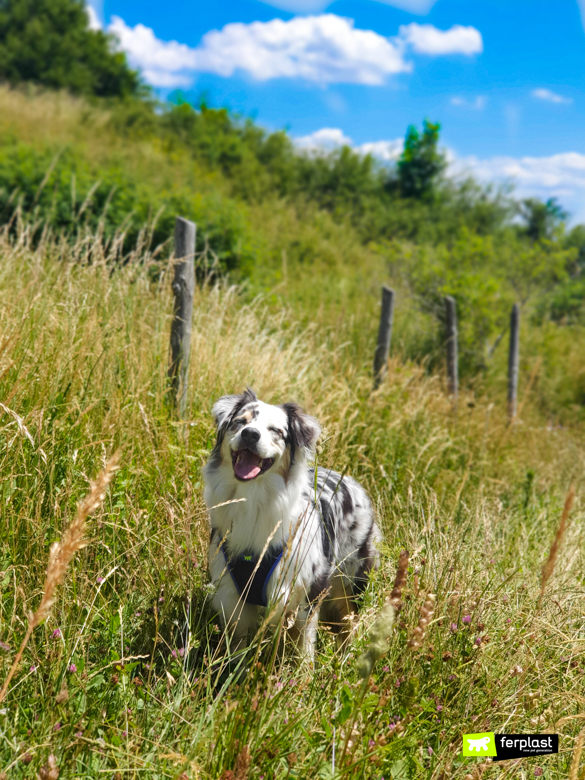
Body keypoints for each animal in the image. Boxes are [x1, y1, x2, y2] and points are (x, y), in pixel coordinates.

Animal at [203, 388, 380, 660]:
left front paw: (303, 672)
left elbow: (303, 651)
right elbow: (238, 651)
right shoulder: (232, 595)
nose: (250, 434)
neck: (254, 500)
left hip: (350, 583)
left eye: (276, 430)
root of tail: (354, 484)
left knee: (348, 626)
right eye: (240, 422)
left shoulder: (303, 596)